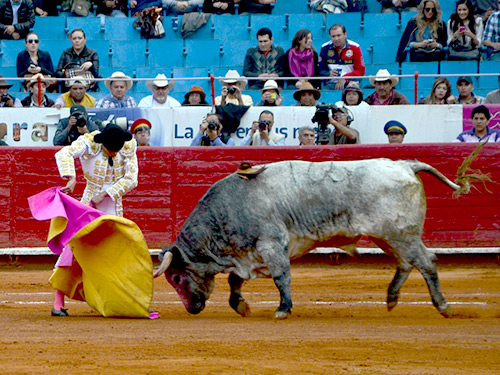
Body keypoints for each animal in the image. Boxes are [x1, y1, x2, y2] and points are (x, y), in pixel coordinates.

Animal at [153, 159, 480, 320]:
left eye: (177, 278)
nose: (191, 309)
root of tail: (405, 165)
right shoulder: (248, 254)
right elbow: (236, 280)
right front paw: (241, 306)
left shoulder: (271, 245)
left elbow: (281, 277)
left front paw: (283, 309)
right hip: (390, 236)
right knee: (406, 263)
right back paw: (391, 299)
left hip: (399, 233)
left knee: (426, 262)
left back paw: (443, 306)